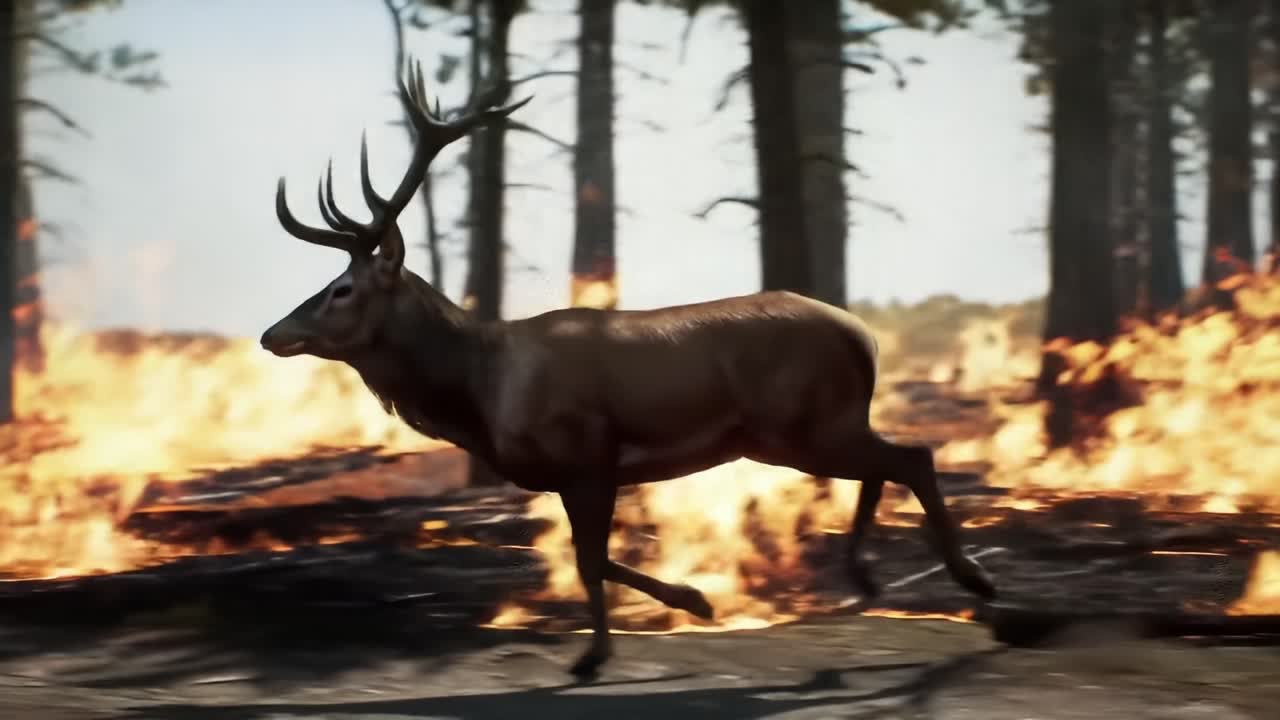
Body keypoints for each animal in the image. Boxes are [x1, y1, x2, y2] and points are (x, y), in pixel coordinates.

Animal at [261, 59, 998, 679]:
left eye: (342, 290)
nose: (272, 334)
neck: (481, 390)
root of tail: (864, 336)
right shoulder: (579, 469)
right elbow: (595, 558)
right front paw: (690, 602)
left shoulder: (588, 450)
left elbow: (590, 560)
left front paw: (607, 649)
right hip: (813, 427)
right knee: (887, 463)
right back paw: (865, 579)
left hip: (804, 423)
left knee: (913, 456)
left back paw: (972, 581)